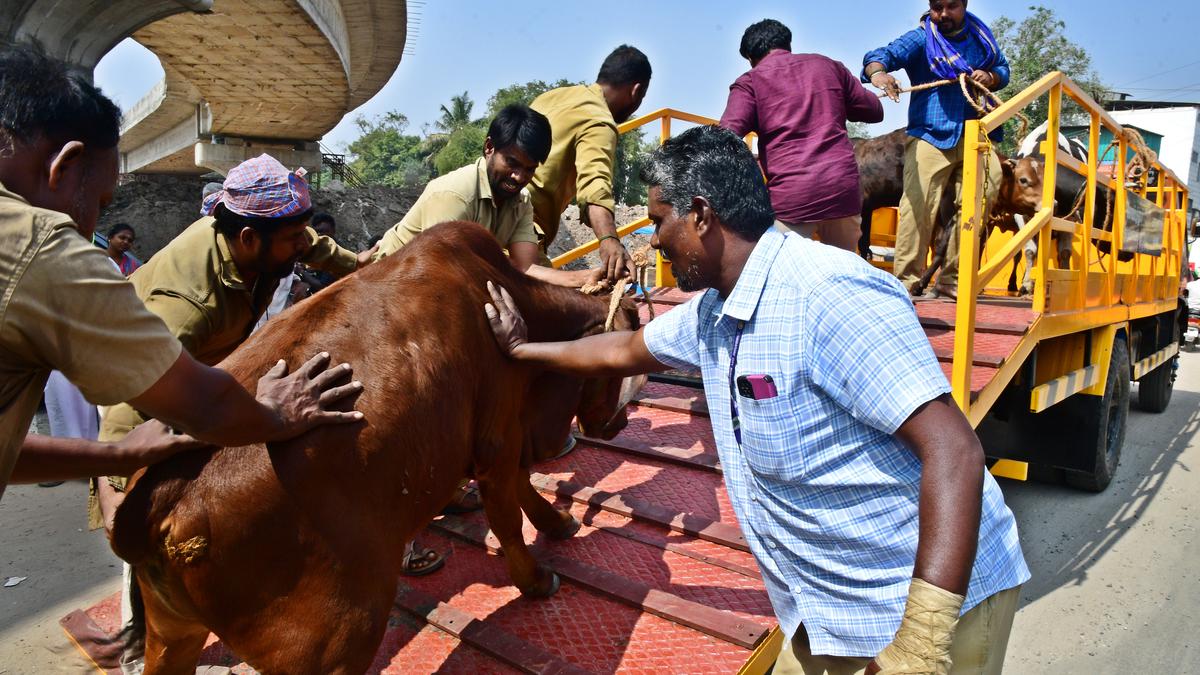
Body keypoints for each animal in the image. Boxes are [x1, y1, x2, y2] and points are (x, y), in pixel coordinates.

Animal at [108, 222, 643, 672]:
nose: (616, 424)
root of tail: (159, 503)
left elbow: (522, 488)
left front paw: (557, 523)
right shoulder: (499, 436)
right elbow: (509, 512)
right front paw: (535, 578)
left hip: (173, 634)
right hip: (337, 640)